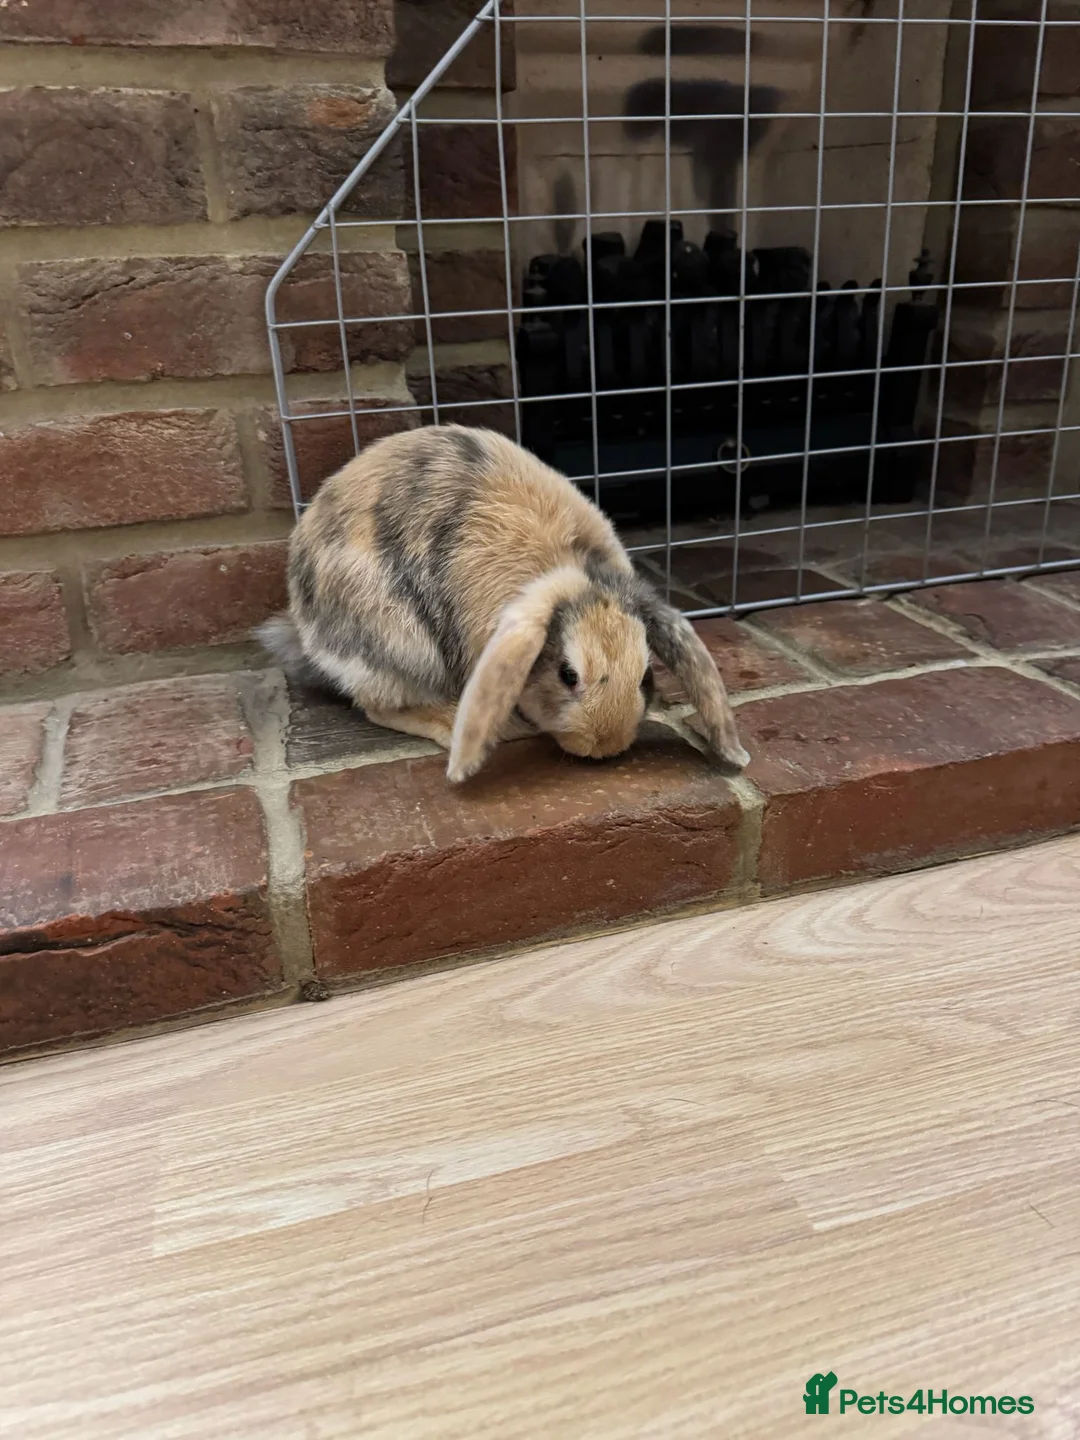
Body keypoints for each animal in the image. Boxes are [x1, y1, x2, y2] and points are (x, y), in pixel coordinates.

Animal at [257, 423, 750, 784]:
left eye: (646, 675)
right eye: (567, 674)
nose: (604, 745)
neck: (573, 568)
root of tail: (304, 634)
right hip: (400, 646)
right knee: (378, 705)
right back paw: (462, 722)